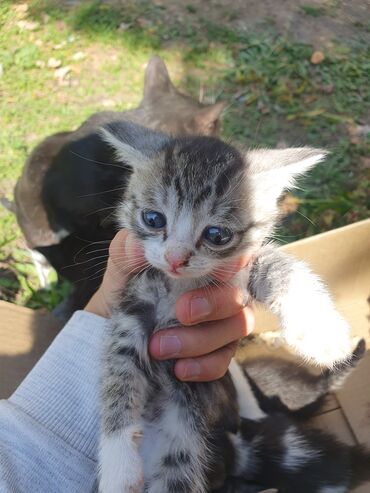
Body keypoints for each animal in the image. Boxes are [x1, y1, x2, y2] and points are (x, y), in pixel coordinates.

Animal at [97, 120, 356, 492]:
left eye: (217, 235)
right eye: (153, 218)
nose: (175, 258)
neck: (178, 286)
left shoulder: (234, 273)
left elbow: (276, 266)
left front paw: (321, 330)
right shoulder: (131, 308)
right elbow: (117, 378)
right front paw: (119, 468)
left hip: (182, 447)